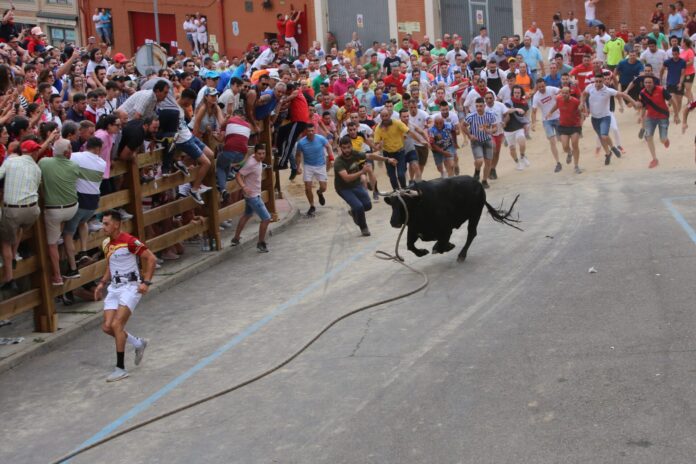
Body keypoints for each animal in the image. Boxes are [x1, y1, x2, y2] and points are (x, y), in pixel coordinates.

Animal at [384, 176, 520, 260]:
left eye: (406, 203)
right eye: (392, 205)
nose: (393, 222)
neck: (421, 204)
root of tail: (478, 183)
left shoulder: (446, 230)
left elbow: (441, 244)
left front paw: (445, 247)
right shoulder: (413, 229)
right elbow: (409, 245)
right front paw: (422, 252)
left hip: (475, 214)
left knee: (471, 233)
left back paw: (462, 255)